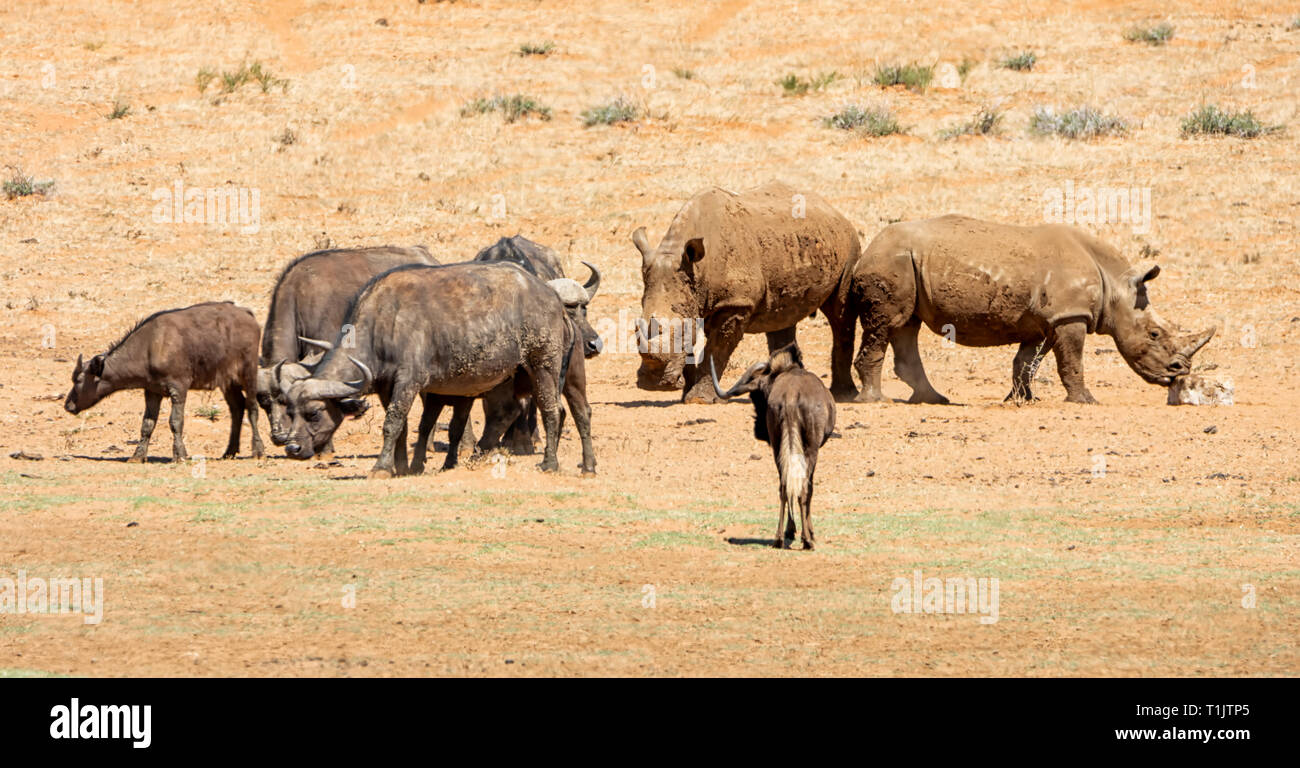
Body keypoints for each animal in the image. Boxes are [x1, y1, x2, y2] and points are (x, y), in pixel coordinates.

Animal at [64, 300, 265, 462]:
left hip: (248, 372)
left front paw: (180, 455)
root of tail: (247, 314)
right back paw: (229, 451)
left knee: (252, 407)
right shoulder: (152, 391)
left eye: (78, 380)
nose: (68, 405)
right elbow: (147, 424)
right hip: (228, 382)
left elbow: (175, 422)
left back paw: (258, 450)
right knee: (237, 408)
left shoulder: (179, 389)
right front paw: (138, 456)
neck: (149, 347)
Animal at [631, 180, 863, 405]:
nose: (654, 385)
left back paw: (843, 395)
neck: (697, 269)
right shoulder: (692, 296)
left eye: (683, 332)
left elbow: (716, 349)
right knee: (782, 317)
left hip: (850, 245)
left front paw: (698, 400)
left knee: (839, 314)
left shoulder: (735, 303)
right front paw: (685, 394)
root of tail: (834, 211)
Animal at [712, 343, 832, 553]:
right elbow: (809, 488)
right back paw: (807, 540)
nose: (758, 430)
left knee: (784, 486)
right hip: (810, 448)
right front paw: (808, 532)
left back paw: (778, 538)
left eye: (756, 396)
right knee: (802, 487)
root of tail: (791, 396)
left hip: (778, 447)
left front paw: (790, 531)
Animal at [837, 211, 1211, 400]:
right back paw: (875, 400)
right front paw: (1085, 400)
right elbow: (1072, 361)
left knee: (906, 325)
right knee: (888, 324)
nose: (1180, 372)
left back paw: (933, 399)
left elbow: (1026, 362)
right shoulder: (1068, 317)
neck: (1115, 284)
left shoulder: (1046, 322)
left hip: (906, 263)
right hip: (892, 262)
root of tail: (868, 248)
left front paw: (1023, 399)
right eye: (1154, 334)